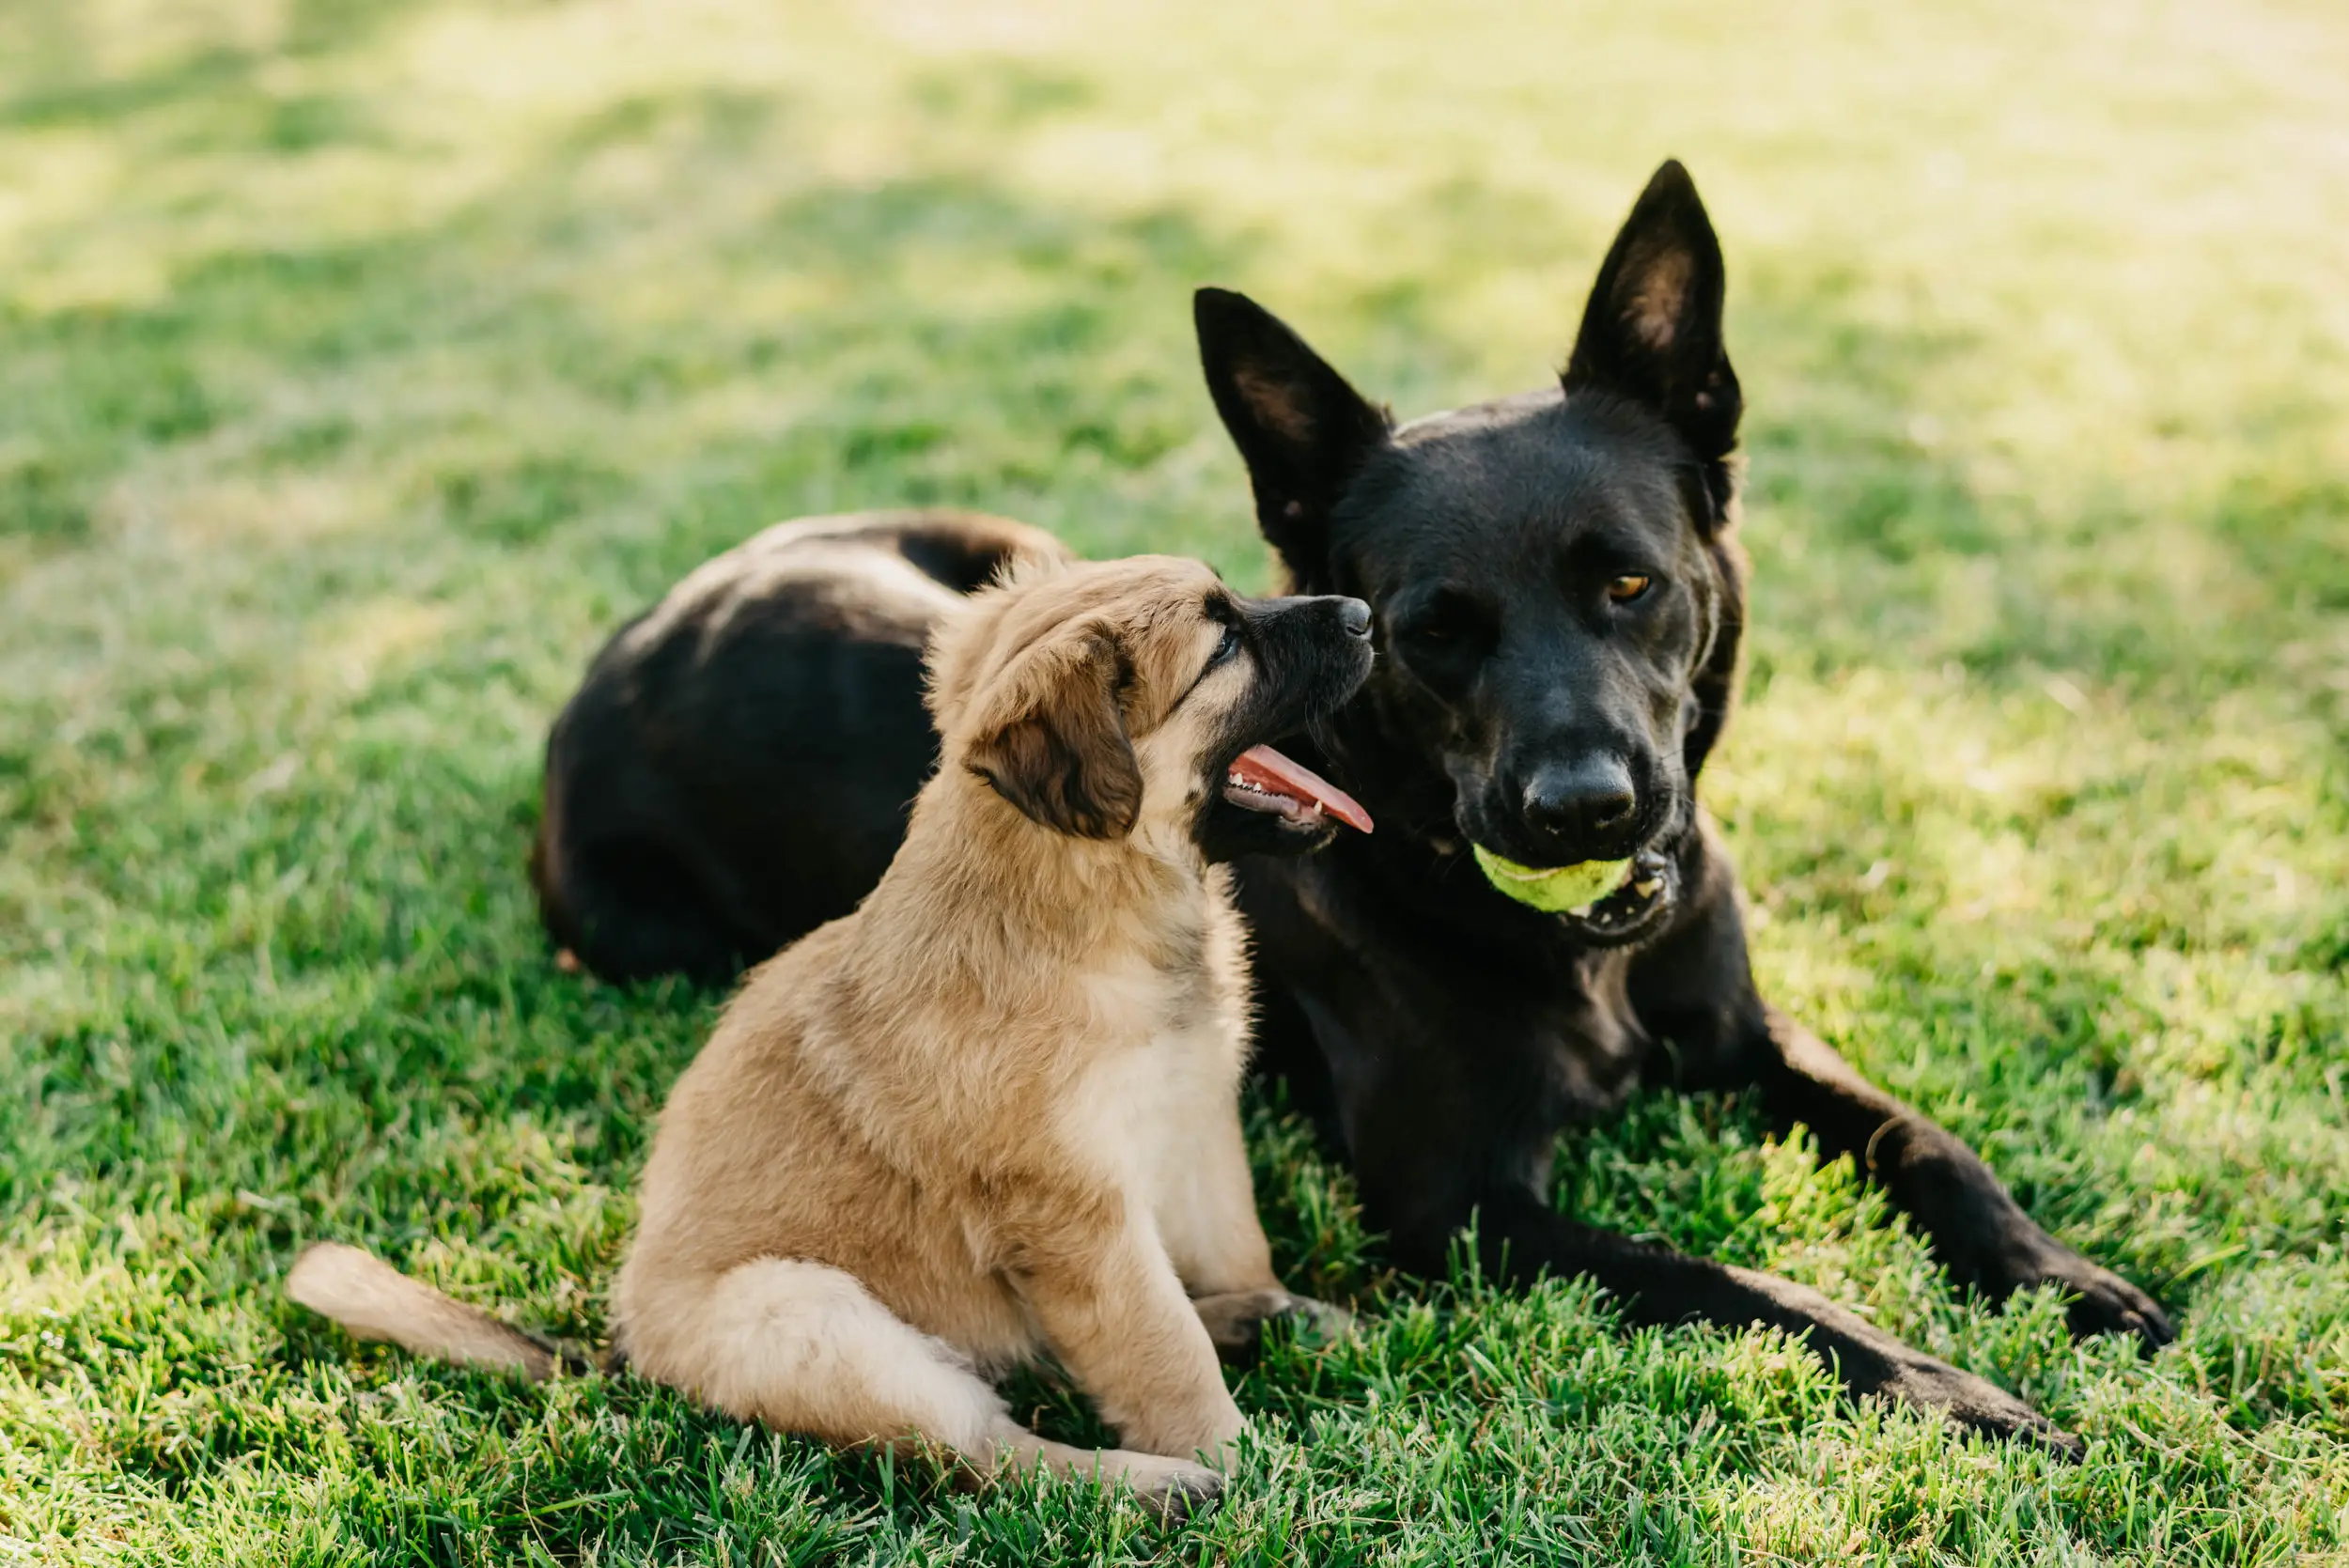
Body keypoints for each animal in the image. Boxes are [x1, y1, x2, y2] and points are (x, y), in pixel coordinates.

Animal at [288, 553, 1372, 1521]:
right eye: (1222, 642)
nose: (1363, 614)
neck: (1091, 904)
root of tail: (627, 1352)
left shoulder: (1191, 1118)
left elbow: (1223, 1256)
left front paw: (1262, 1305)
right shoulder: (1074, 1213)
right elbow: (1158, 1347)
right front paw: (1239, 1462)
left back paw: (1262, 1327)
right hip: (820, 1321)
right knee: (988, 1450)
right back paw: (1157, 1485)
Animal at [533, 165, 2161, 1455]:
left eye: (1631, 581)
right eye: (1432, 628)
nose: (1585, 808)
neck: (1566, 945)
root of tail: (647, 629)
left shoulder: (1746, 1039)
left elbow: (1925, 1142)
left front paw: (2062, 1278)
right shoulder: (1461, 1209)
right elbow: (1733, 1280)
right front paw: (1951, 1388)